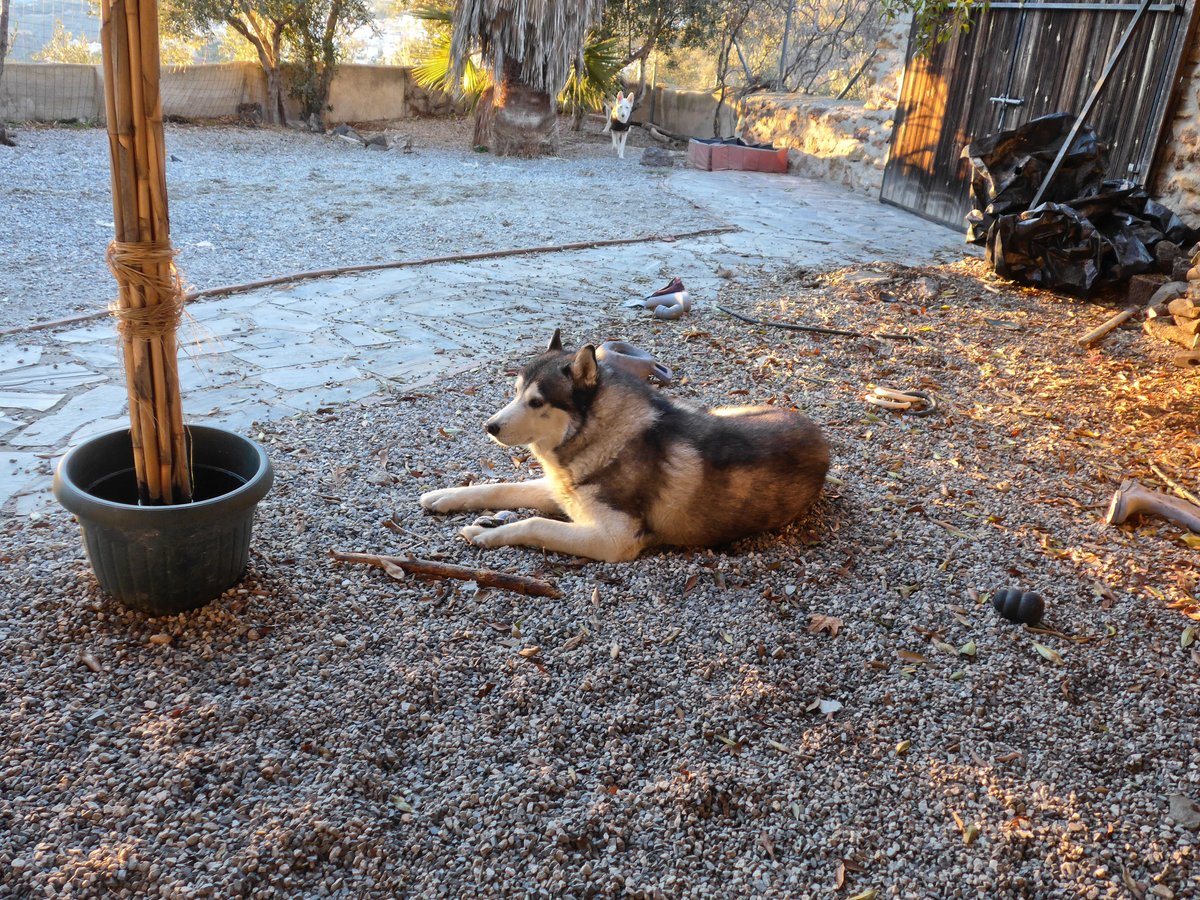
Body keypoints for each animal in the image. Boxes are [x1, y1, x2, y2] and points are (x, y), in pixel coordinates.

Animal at [417, 331, 830, 561]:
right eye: (515, 392)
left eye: (536, 402)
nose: (489, 426)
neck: (604, 435)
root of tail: (813, 427)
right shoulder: (561, 491)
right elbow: (501, 487)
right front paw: (446, 496)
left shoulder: (613, 539)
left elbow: (535, 523)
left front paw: (486, 534)